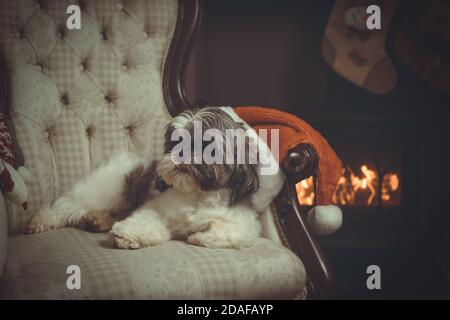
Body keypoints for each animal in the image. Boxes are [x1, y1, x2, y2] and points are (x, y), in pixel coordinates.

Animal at [25, 107, 264, 250]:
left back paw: (96, 220)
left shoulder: (244, 221)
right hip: (107, 190)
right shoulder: (155, 207)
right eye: (175, 142)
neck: (196, 195)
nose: (181, 153)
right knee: (67, 207)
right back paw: (43, 220)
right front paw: (126, 236)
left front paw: (201, 236)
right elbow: (145, 220)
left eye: (207, 145)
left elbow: (232, 231)